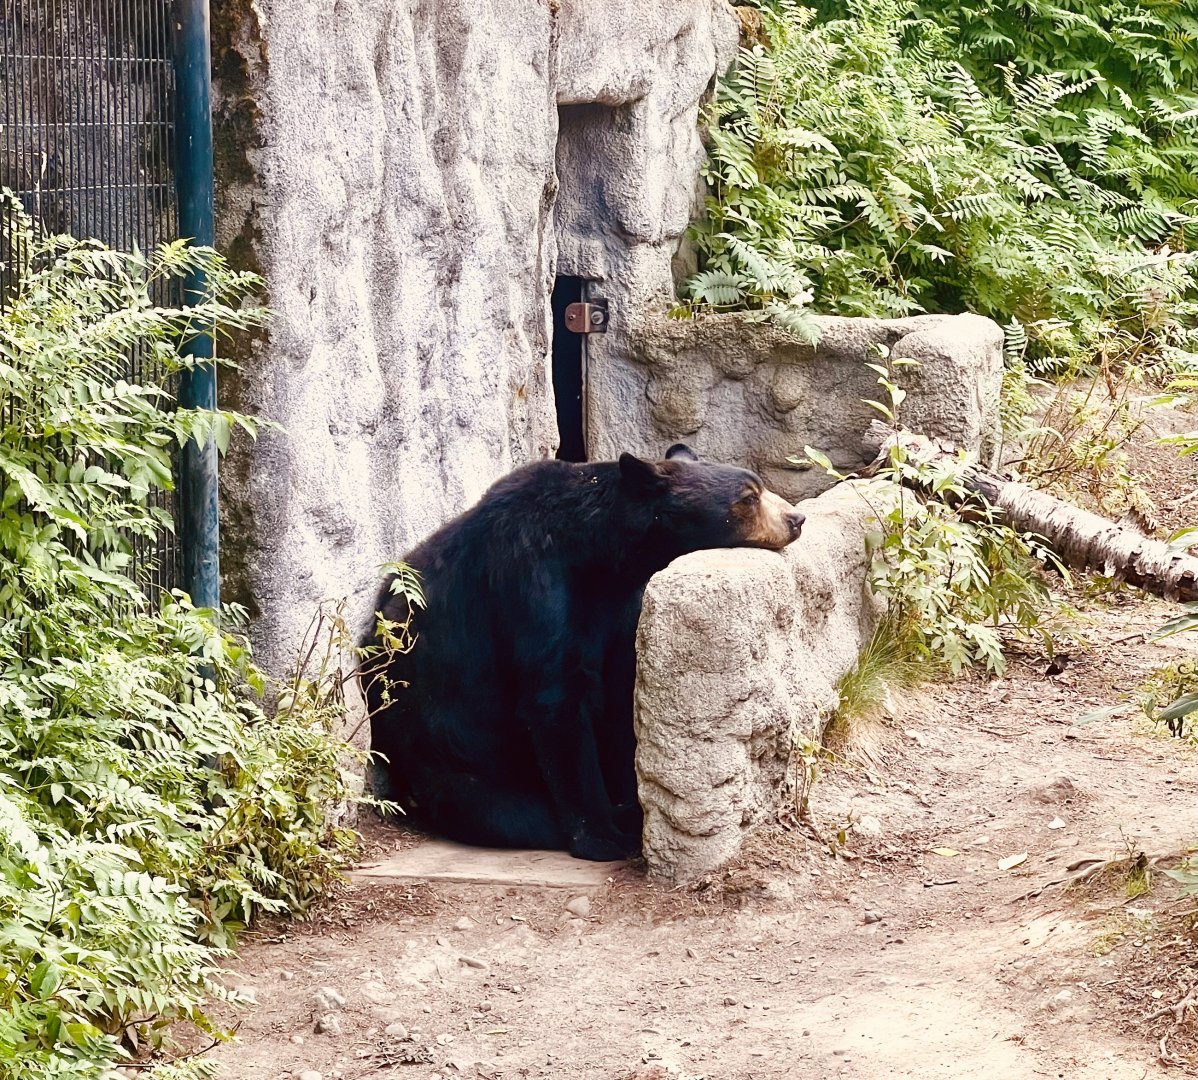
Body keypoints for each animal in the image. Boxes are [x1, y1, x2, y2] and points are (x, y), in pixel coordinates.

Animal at [359, 444, 804, 861]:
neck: (599, 555)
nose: (796, 519)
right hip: (449, 752)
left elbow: (623, 685)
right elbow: (556, 700)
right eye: (747, 498)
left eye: (758, 487)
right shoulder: (531, 583)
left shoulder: (618, 604)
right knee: (504, 810)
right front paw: (604, 835)